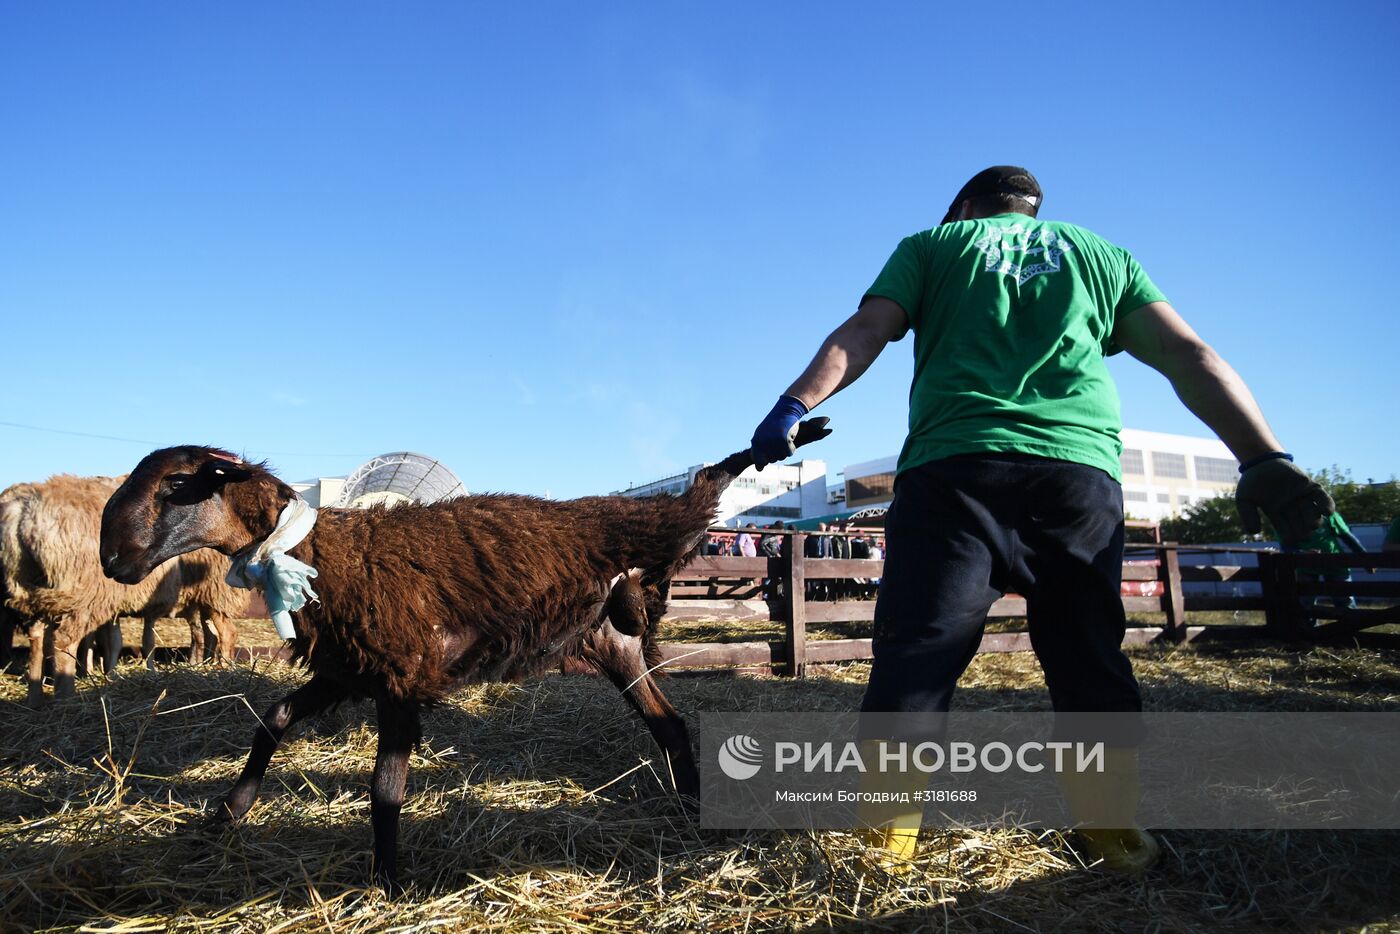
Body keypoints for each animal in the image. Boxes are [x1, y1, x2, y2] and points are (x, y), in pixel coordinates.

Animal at [103, 417, 834, 890]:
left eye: (176, 486)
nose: (112, 560)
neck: (321, 553)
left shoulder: (400, 676)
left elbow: (384, 789)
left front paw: (387, 880)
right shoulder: (349, 670)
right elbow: (273, 723)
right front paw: (229, 812)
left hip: (660, 527)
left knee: (704, 484)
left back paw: (782, 438)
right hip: (615, 643)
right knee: (671, 725)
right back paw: (688, 808)